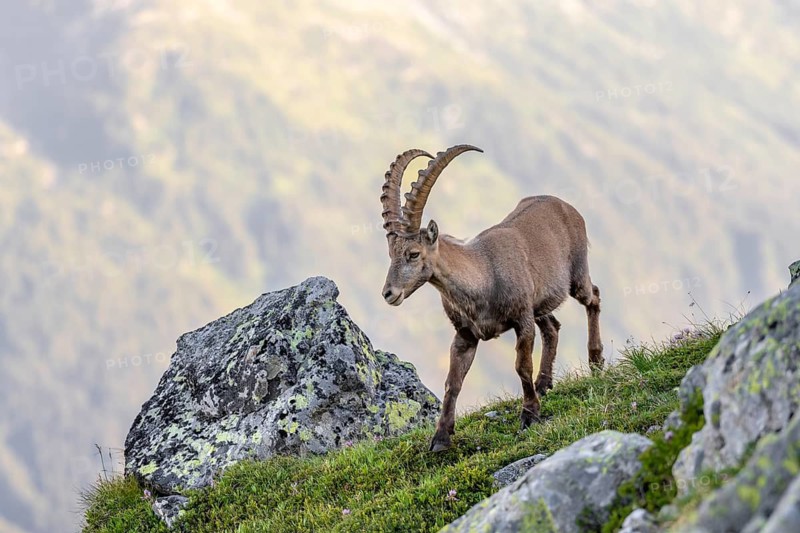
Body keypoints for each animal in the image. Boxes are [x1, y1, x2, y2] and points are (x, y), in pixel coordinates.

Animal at [380, 145, 603, 452]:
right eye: (390, 254)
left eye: (413, 254)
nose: (389, 293)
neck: (483, 276)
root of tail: (565, 205)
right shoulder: (465, 335)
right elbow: (453, 382)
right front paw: (441, 438)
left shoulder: (522, 320)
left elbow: (521, 366)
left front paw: (530, 415)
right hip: (539, 303)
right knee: (553, 327)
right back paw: (544, 383)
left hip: (576, 275)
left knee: (593, 297)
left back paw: (596, 362)